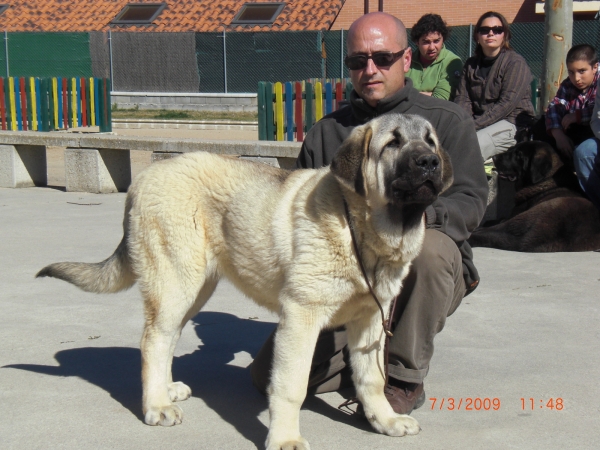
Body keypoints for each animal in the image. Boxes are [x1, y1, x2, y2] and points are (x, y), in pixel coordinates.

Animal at [37, 113, 450, 450]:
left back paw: (166, 391)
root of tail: (144, 180)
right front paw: (284, 438)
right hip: (176, 282)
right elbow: (291, 385)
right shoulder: (301, 317)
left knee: (167, 337)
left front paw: (384, 420)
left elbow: (372, 378)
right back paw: (156, 405)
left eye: (430, 141)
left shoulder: (370, 321)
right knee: (152, 340)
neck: (360, 229)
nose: (430, 162)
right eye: (393, 142)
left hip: (195, 289)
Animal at [468, 142, 600, 253]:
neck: (547, 178)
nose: (494, 157)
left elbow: (497, 220)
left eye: (519, 155)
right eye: (511, 150)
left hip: (523, 217)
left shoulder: (513, 214)